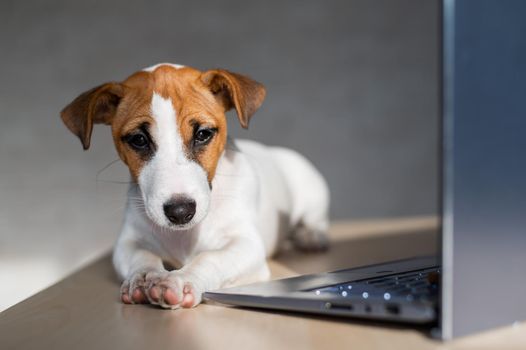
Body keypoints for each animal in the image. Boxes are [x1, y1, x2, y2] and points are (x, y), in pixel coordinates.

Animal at [60, 63, 330, 308]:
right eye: (138, 139)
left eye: (203, 134)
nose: (180, 212)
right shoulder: (128, 242)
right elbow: (142, 254)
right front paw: (144, 277)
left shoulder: (247, 245)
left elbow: (210, 258)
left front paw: (183, 279)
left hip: (311, 188)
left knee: (313, 219)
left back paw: (311, 235)